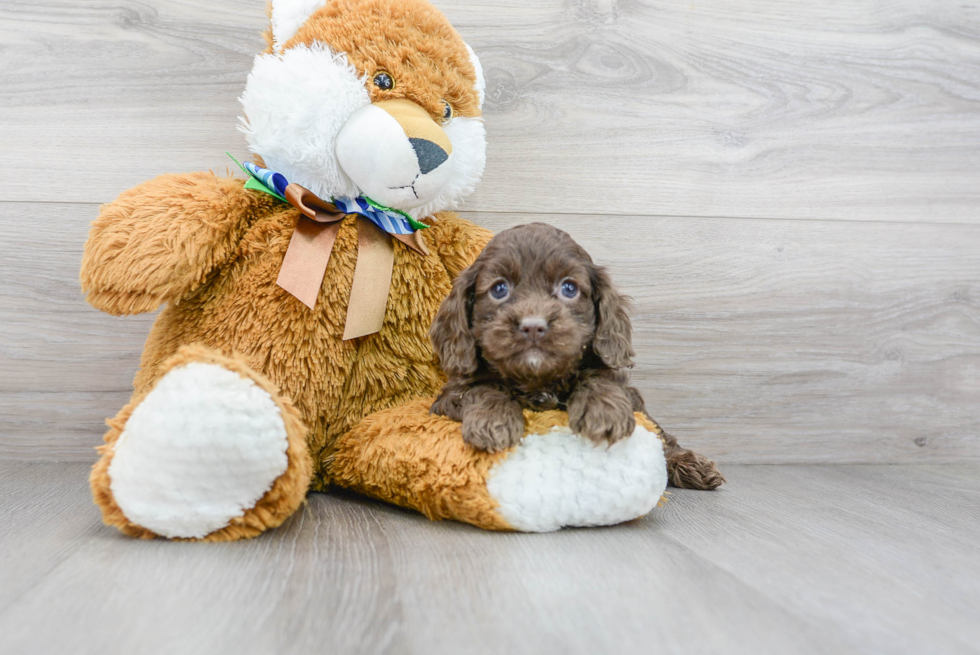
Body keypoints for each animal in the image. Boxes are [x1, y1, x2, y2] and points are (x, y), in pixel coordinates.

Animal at [432, 223, 724, 490]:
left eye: (569, 288)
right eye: (499, 289)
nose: (533, 326)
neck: (538, 381)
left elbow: (600, 378)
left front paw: (604, 411)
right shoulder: (449, 396)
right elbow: (482, 387)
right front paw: (493, 420)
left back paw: (688, 464)